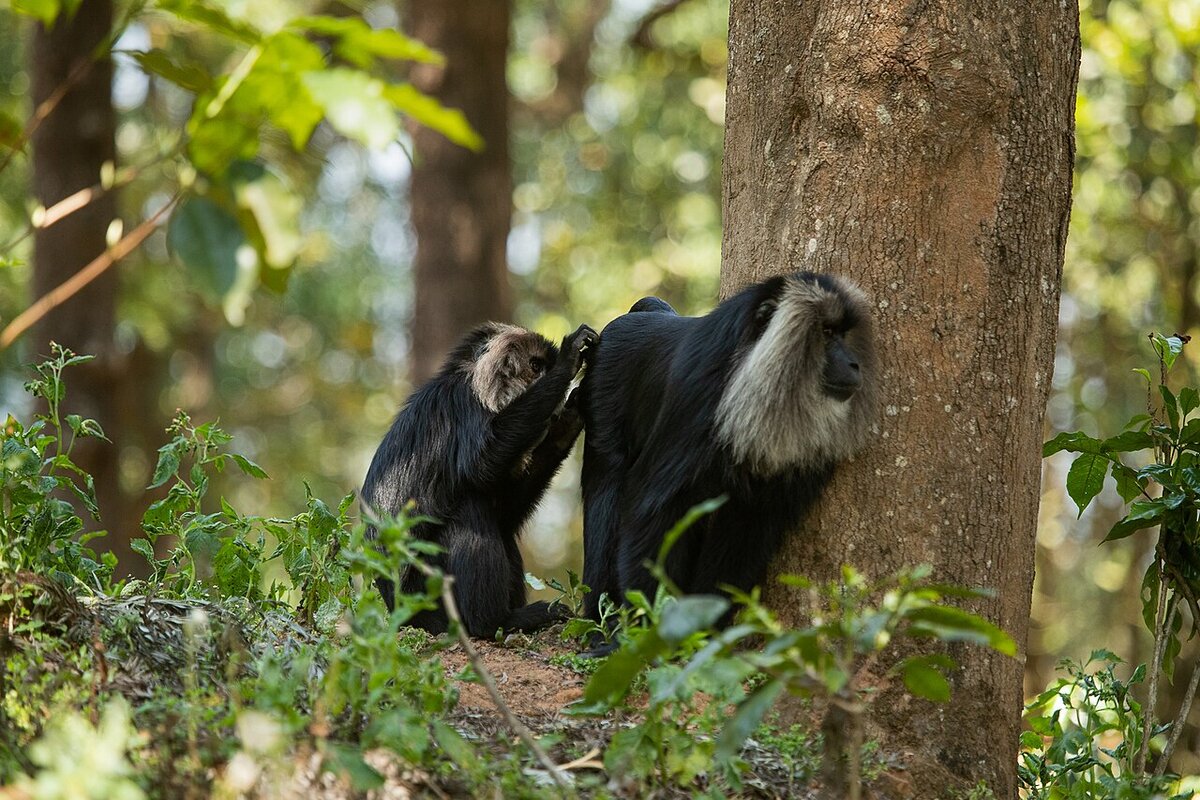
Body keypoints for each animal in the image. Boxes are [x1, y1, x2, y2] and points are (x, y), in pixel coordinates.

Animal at [361, 321, 599, 638]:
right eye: (536, 366)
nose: (550, 383)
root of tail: (401, 614)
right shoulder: (463, 402)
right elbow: (481, 464)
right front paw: (568, 360)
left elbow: (506, 511)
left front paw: (567, 422)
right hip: (428, 594)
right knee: (469, 507)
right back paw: (495, 622)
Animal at [579, 271, 876, 631]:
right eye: (826, 333)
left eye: (843, 334)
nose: (854, 364)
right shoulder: (701, 397)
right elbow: (649, 509)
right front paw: (652, 631)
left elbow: (748, 526)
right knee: (606, 486)